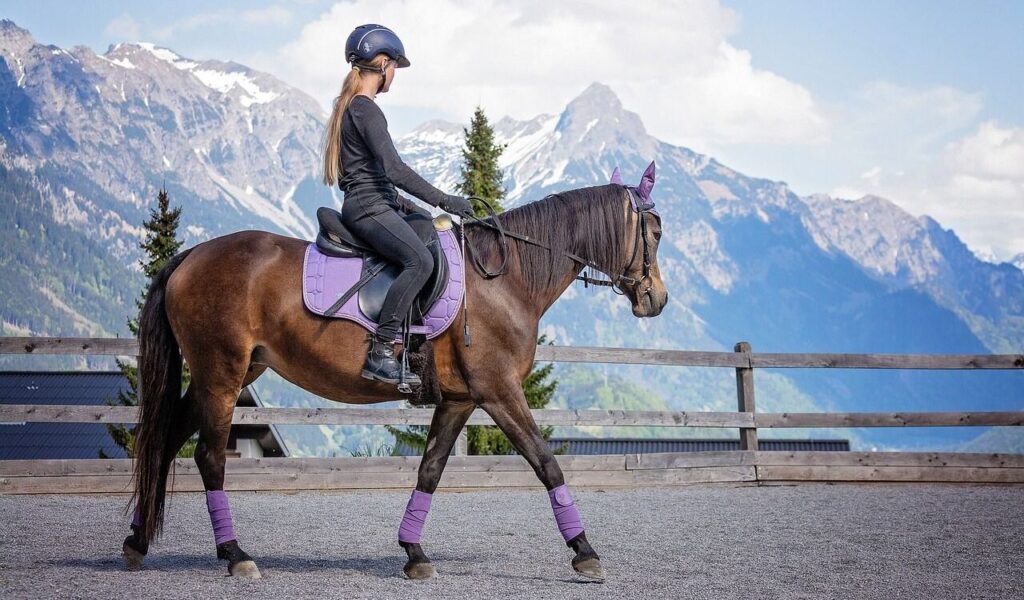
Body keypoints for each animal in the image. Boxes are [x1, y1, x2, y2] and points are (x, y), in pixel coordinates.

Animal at [123, 162, 669, 581]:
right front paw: (585, 551)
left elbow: (430, 470)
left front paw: (414, 554)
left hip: (228, 374)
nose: (657, 299)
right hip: (222, 374)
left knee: (166, 441)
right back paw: (235, 556)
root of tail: (192, 255)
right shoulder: (500, 391)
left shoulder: (460, 400)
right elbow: (545, 461)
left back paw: (138, 542)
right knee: (209, 458)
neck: (504, 278)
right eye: (656, 232)